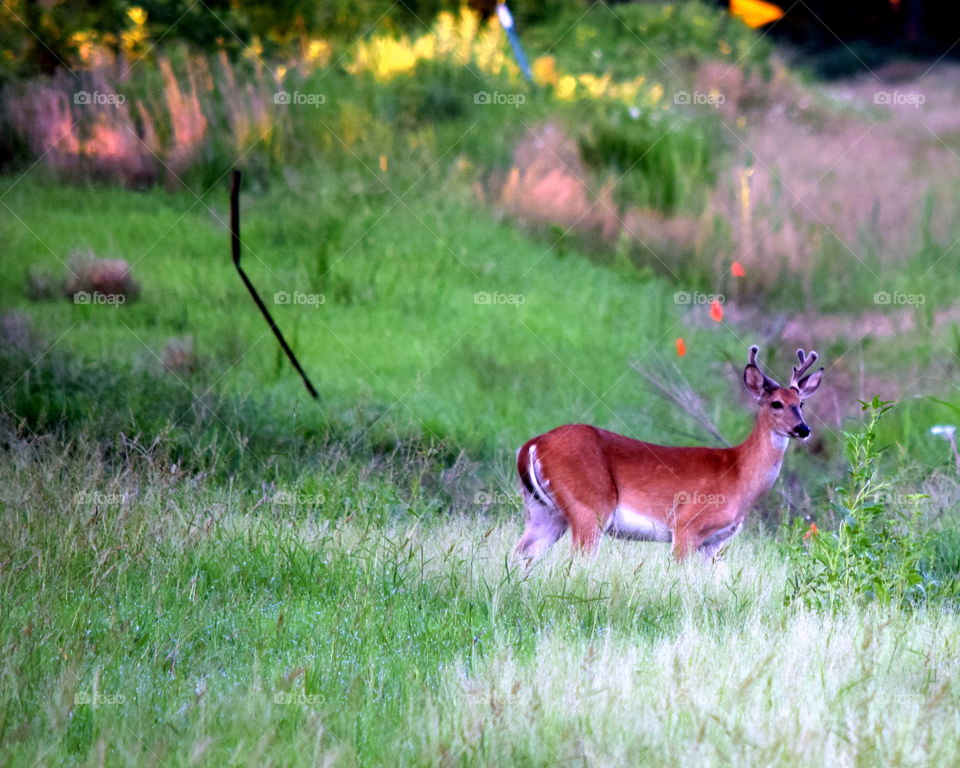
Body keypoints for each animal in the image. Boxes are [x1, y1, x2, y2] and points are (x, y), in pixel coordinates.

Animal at [514, 345, 824, 563]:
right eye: (776, 403)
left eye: (801, 404)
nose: (803, 429)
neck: (738, 471)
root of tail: (532, 445)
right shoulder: (687, 525)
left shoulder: (714, 542)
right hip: (589, 508)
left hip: (544, 512)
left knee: (519, 555)